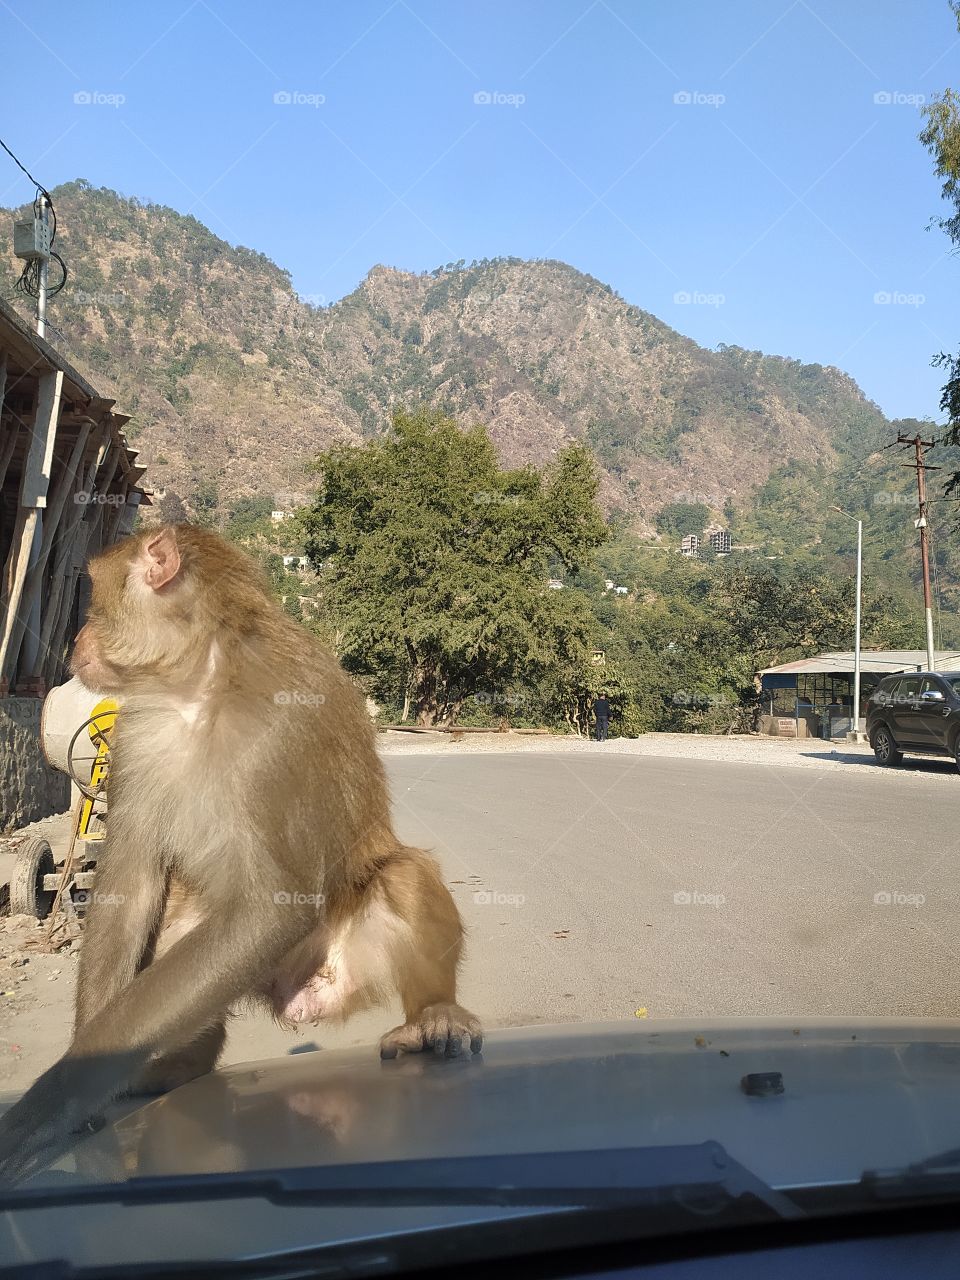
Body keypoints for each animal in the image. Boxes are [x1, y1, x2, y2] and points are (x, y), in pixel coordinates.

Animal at [0, 524, 483, 1182]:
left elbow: (275, 906)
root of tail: (294, 995)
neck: (199, 684)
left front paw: (50, 1104)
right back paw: (174, 1072)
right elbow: (130, 884)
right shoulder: (139, 731)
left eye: (93, 596)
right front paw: (88, 1085)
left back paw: (433, 1016)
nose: (77, 639)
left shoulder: (275, 732)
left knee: (402, 875)